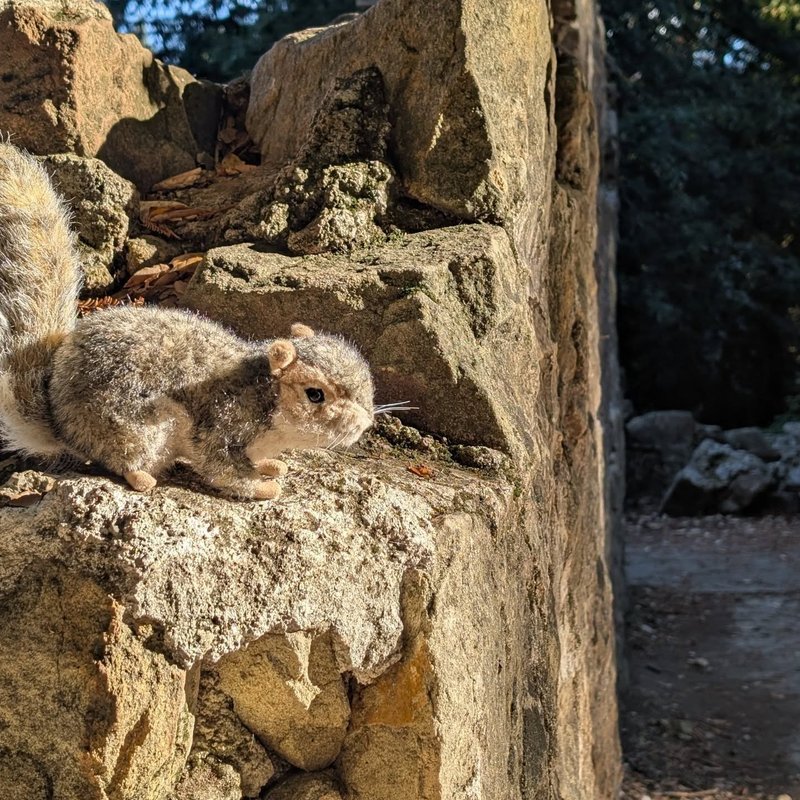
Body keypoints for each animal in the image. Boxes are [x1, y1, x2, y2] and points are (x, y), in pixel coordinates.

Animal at [0, 142, 375, 500]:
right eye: (315, 395)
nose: (365, 424)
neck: (264, 395)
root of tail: (62, 424)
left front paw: (270, 465)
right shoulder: (222, 423)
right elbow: (224, 470)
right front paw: (264, 487)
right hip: (131, 432)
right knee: (119, 460)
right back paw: (142, 478)